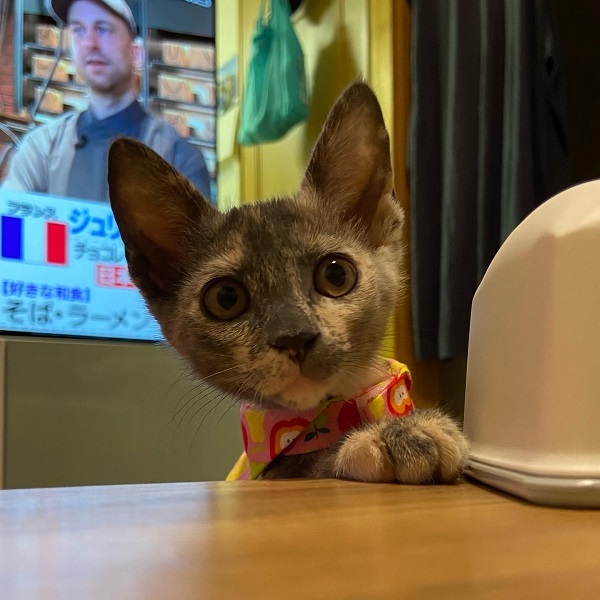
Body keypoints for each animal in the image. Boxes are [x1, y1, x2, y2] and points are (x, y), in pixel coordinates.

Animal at [107, 81, 469, 483]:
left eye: (335, 275)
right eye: (226, 298)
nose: (295, 337)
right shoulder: (273, 473)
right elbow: (317, 466)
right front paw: (391, 436)